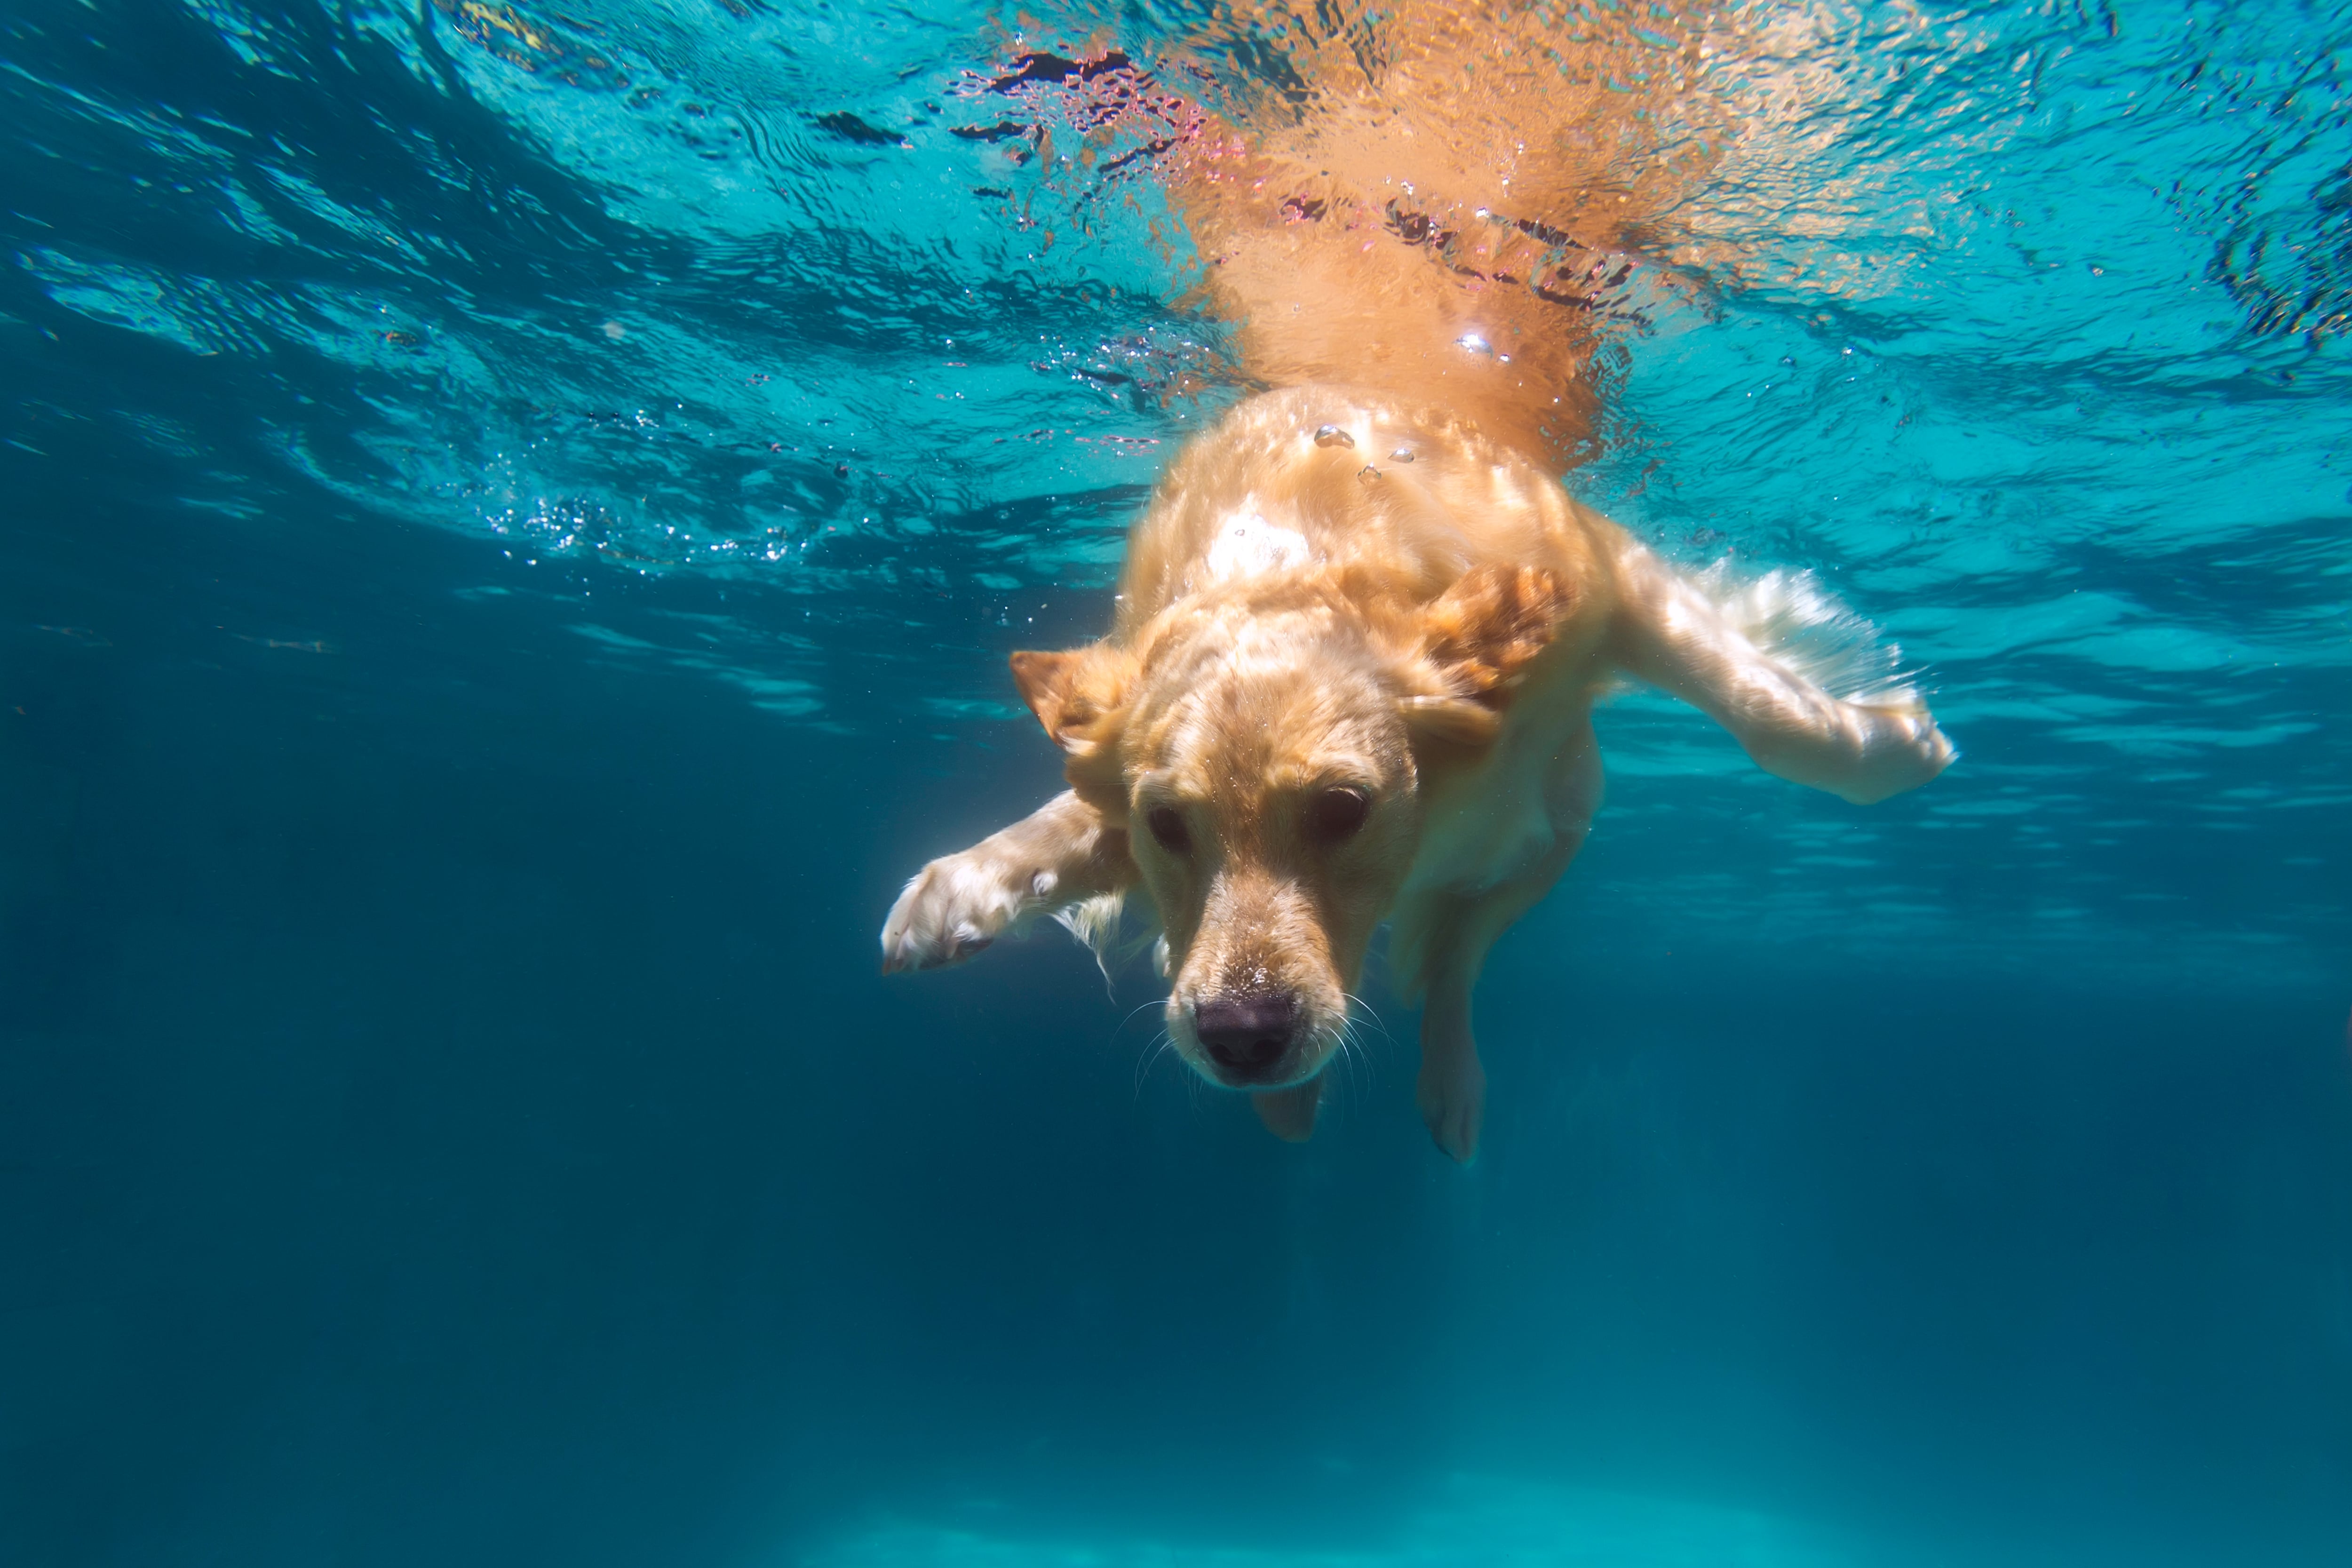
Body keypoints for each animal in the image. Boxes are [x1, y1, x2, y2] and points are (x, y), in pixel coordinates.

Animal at [880, 6, 1947, 1161]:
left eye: (1343, 808)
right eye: (1169, 824)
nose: (1241, 1036)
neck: (1296, 553)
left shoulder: (1598, 575)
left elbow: (1761, 711)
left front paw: (1891, 745)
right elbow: (1087, 815)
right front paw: (963, 884)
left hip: (1555, 828)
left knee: (1460, 958)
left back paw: (1443, 1082)